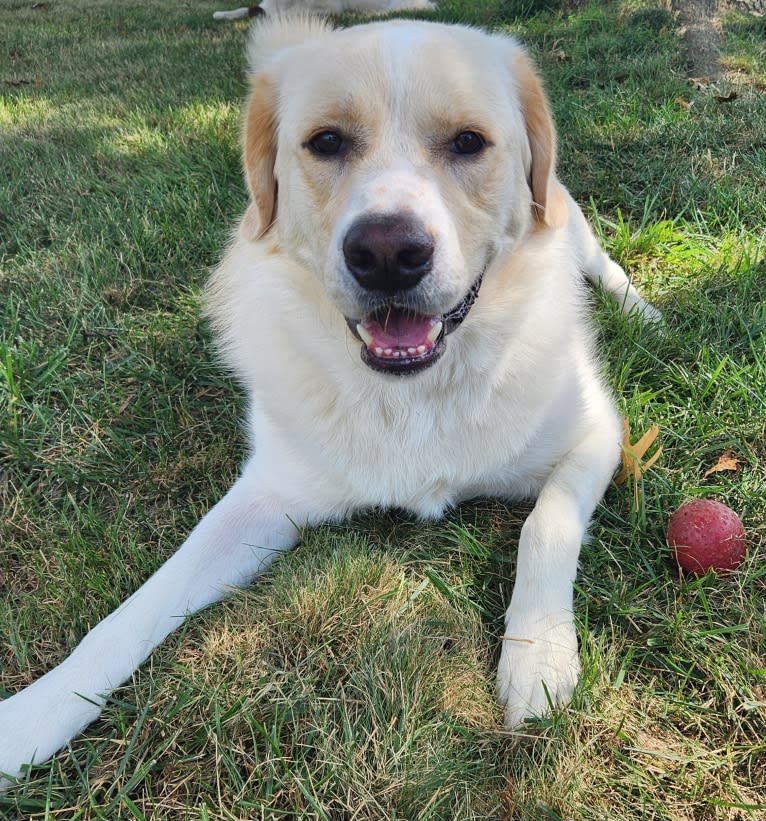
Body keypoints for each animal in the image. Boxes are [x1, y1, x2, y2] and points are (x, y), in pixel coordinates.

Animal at [0, 12, 660, 780]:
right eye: (326, 142)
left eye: (468, 142)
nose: (387, 254)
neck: (414, 394)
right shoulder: (265, 497)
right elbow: (137, 604)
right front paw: (35, 714)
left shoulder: (598, 434)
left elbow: (544, 526)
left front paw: (540, 657)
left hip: (570, 218)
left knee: (604, 263)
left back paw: (644, 312)